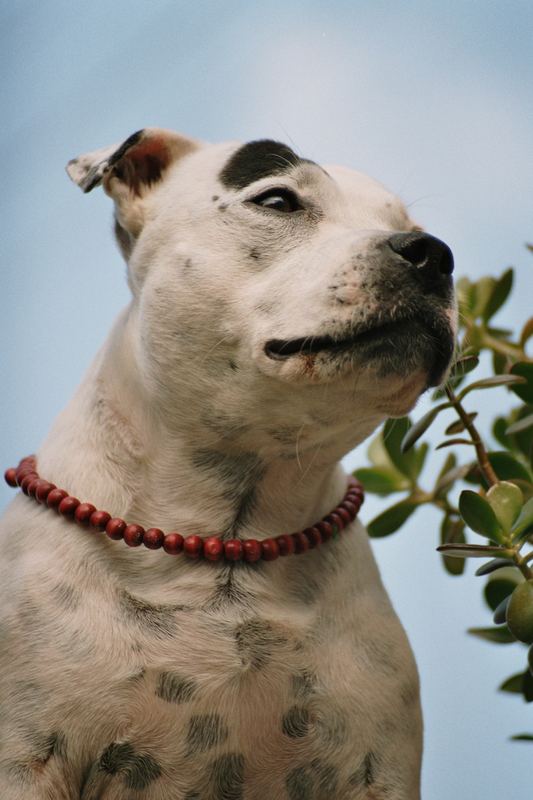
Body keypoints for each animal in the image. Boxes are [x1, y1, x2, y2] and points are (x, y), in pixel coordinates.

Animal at [1, 128, 454, 796]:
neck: (229, 545)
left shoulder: (377, 769)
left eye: (411, 226)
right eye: (278, 201)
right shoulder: (26, 757)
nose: (433, 254)